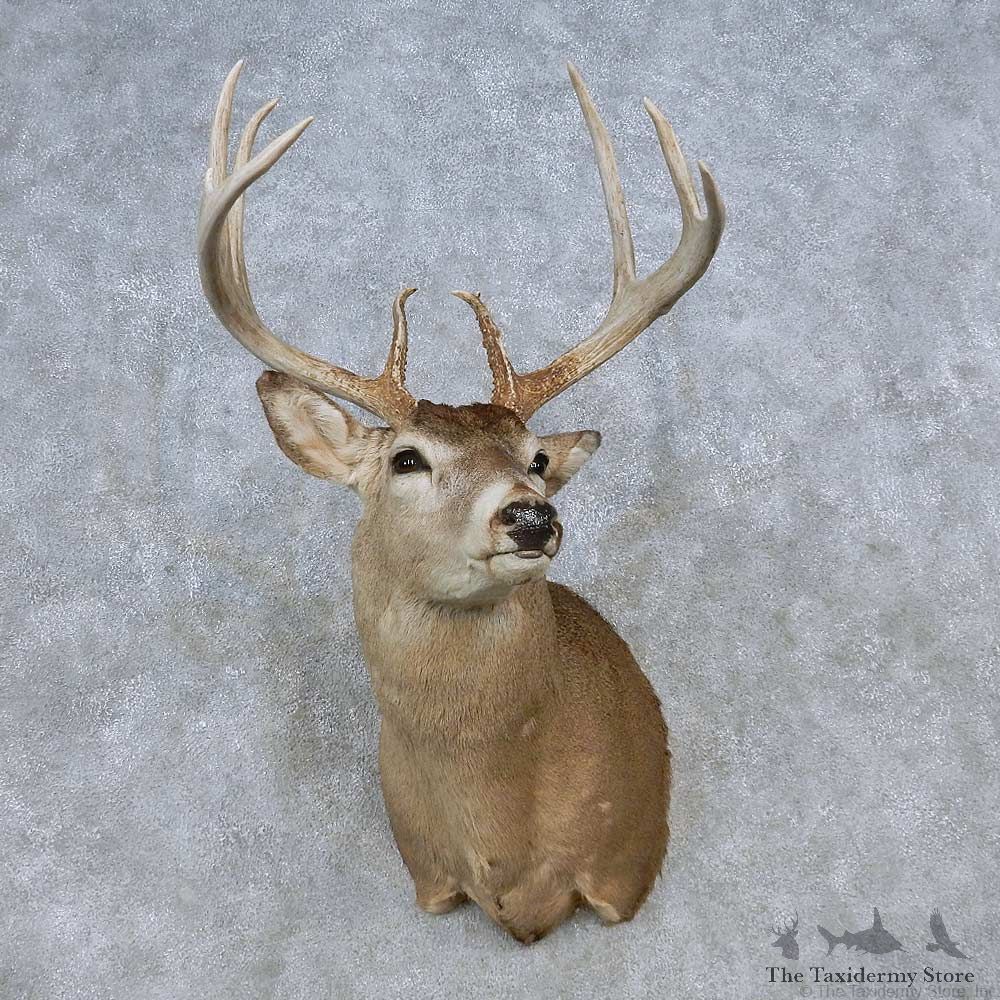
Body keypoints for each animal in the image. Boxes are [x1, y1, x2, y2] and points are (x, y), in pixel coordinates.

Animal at [197, 60, 724, 944]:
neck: (500, 850)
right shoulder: (427, 876)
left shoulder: (621, 873)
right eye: (407, 458)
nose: (531, 516)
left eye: (537, 458)